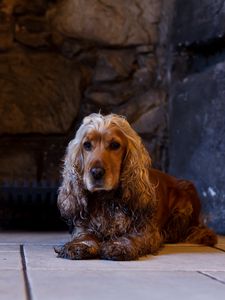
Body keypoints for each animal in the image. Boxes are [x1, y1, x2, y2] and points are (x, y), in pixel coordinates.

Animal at [55, 112, 218, 260]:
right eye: (87, 145)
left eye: (115, 145)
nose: (96, 172)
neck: (106, 200)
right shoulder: (83, 225)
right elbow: (84, 235)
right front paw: (80, 246)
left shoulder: (146, 229)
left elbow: (133, 236)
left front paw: (119, 246)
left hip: (186, 198)